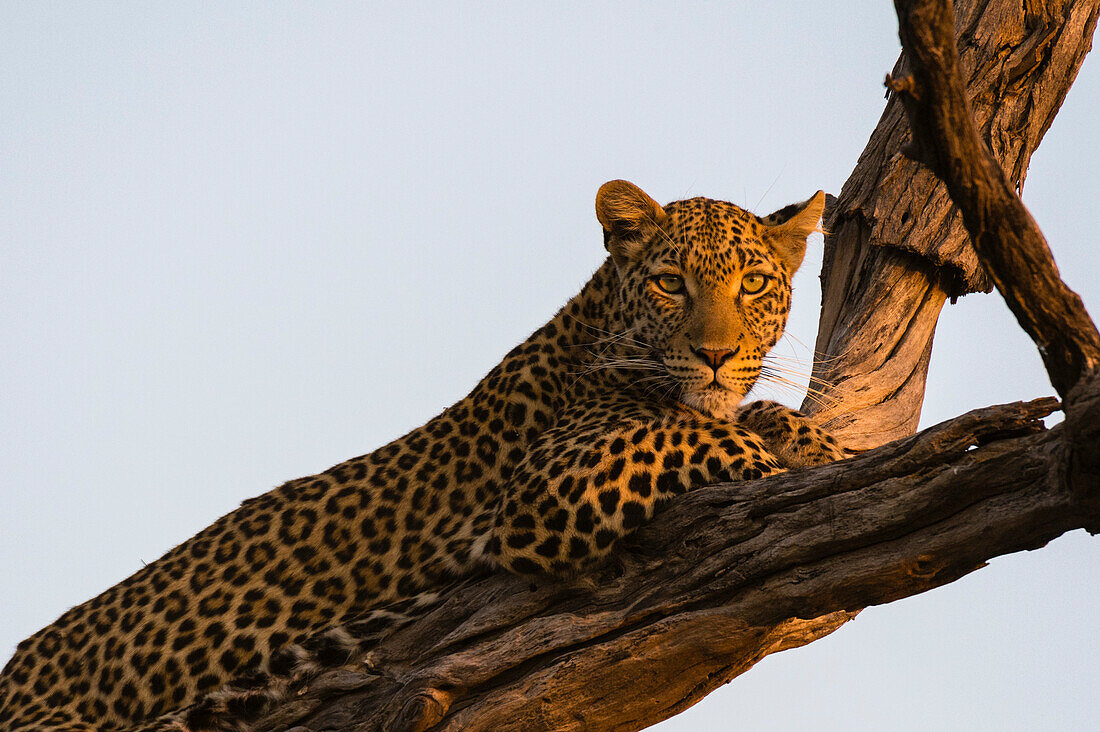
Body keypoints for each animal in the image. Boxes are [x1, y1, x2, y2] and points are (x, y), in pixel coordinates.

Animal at [0, 178, 844, 730]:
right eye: (671, 282)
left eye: (756, 283)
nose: (715, 356)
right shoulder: (545, 487)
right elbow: (694, 432)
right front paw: (776, 456)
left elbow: (761, 411)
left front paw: (817, 439)